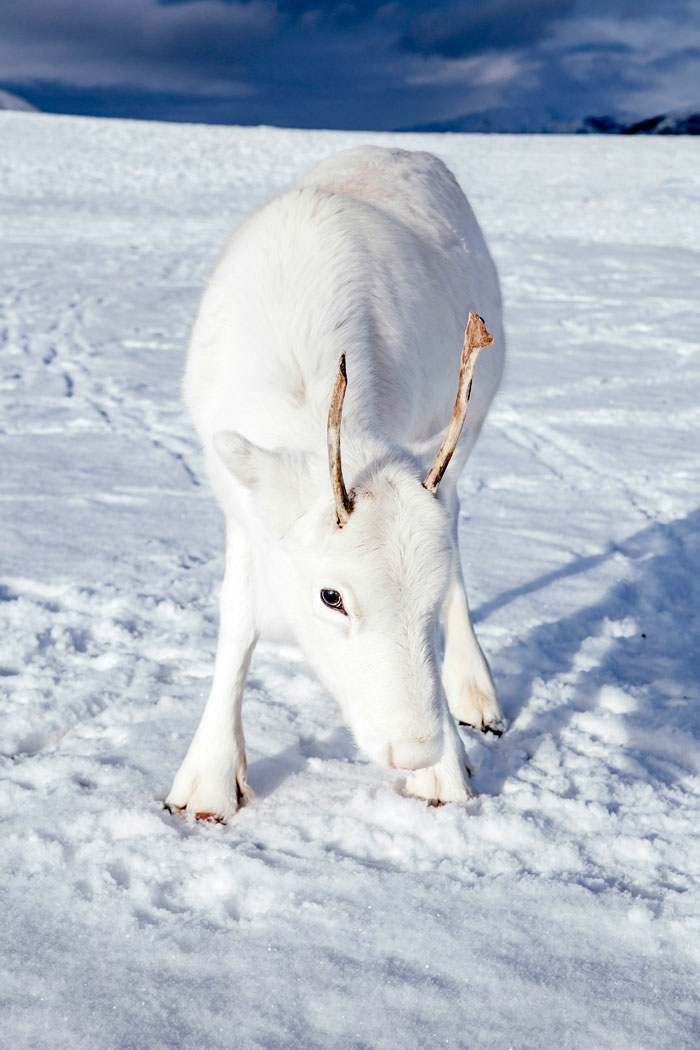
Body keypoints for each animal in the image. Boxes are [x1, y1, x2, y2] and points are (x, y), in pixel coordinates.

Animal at [165, 145, 505, 821]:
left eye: (426, 595)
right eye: (331, 596)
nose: (415, 751)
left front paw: (447, 773)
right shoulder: (243, 505)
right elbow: (237, 615)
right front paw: (209, 780)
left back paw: (475, 691)